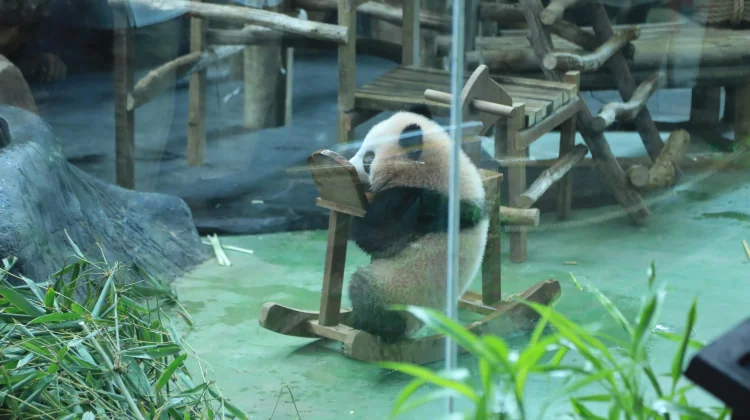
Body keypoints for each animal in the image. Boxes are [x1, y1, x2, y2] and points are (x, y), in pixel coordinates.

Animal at [346, 104, 490, 343]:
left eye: (368, 158)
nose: (349, 166)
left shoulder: (420, 203)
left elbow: (376, 237)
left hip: (396, 289)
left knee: (365, 290)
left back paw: (369, 325)